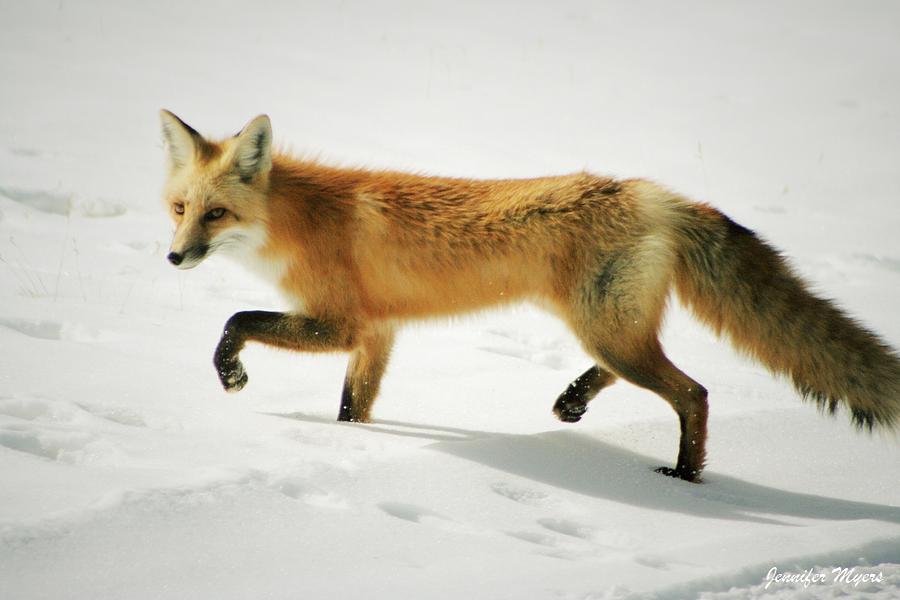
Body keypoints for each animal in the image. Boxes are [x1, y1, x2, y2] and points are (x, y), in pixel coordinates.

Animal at [160, 109, 900, 482]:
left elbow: (236, 318)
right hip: (606, 326)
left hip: (606, 328)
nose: (172, 257)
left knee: (694, 392)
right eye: (178, 209)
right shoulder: (379, 334)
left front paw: (232, 374)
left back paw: (687, 476)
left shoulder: (343, 323)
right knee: (644, 372)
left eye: (216, 215)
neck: (297, 222)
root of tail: (653, 193)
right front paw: (350, 449)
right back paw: (573, 401)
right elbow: (352, 410)